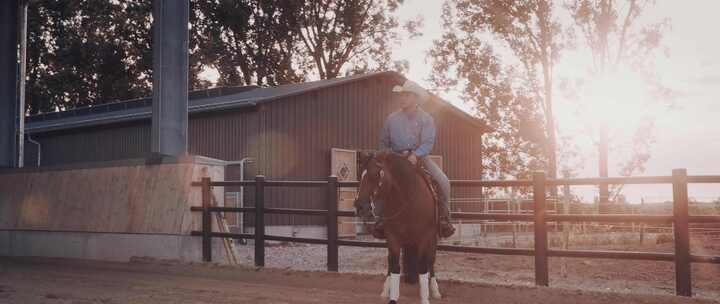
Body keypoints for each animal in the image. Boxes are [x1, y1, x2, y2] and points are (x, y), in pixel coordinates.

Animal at [352, 151, 438, 302]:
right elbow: (395, 267)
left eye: (375, 174)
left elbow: (423, 266)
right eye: (360, 174)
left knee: (431, 260)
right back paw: (386, 289)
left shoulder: (424, 237)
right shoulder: (393, 237)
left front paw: (425, 298)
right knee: (390, 262)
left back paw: (435, 289)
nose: (360, 206)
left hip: (432, 238)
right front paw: (392, 297)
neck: (407, 199)